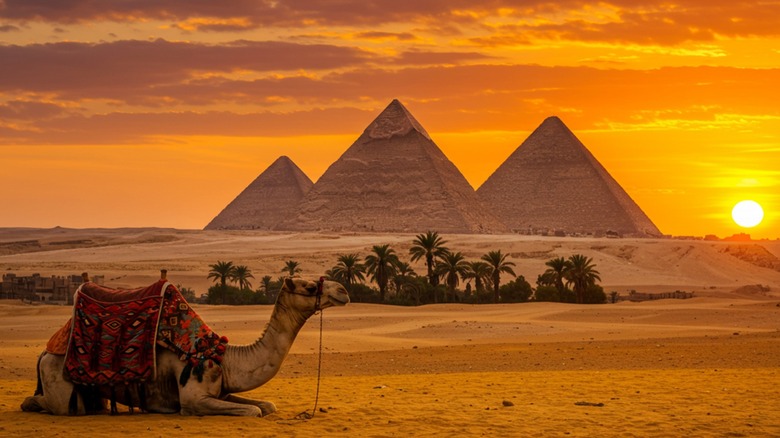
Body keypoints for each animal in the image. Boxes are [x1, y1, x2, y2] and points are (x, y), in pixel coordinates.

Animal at [21, 276, 349, 416]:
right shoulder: (194, 397)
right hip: (57, 380)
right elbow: (253, 412)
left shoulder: (223, 390)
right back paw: (31, 405)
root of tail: (44, 351)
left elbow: (267, 406)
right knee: (49, 404)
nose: (344, 290)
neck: (225, 357)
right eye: (310, 287)